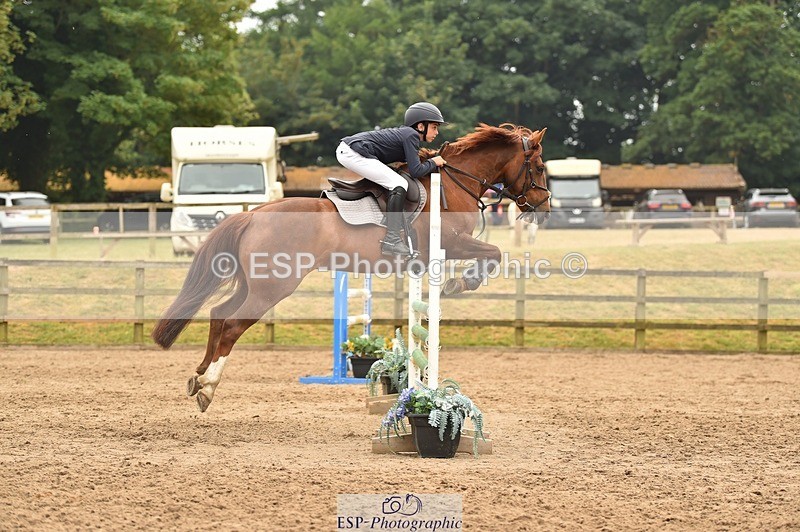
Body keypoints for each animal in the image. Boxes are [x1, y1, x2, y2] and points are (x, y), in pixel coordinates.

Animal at [152, 123, 550, 412]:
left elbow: (492, 254)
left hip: (256, 284)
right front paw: (463, 282)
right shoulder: (452, 244)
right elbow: (494, 252)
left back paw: (199, 376)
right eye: (540, 167)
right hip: (274, 287)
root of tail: (254, 216)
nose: (544, 210)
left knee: (218, 314)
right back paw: (208, 386)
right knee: (233, 325)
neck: (453, 183)